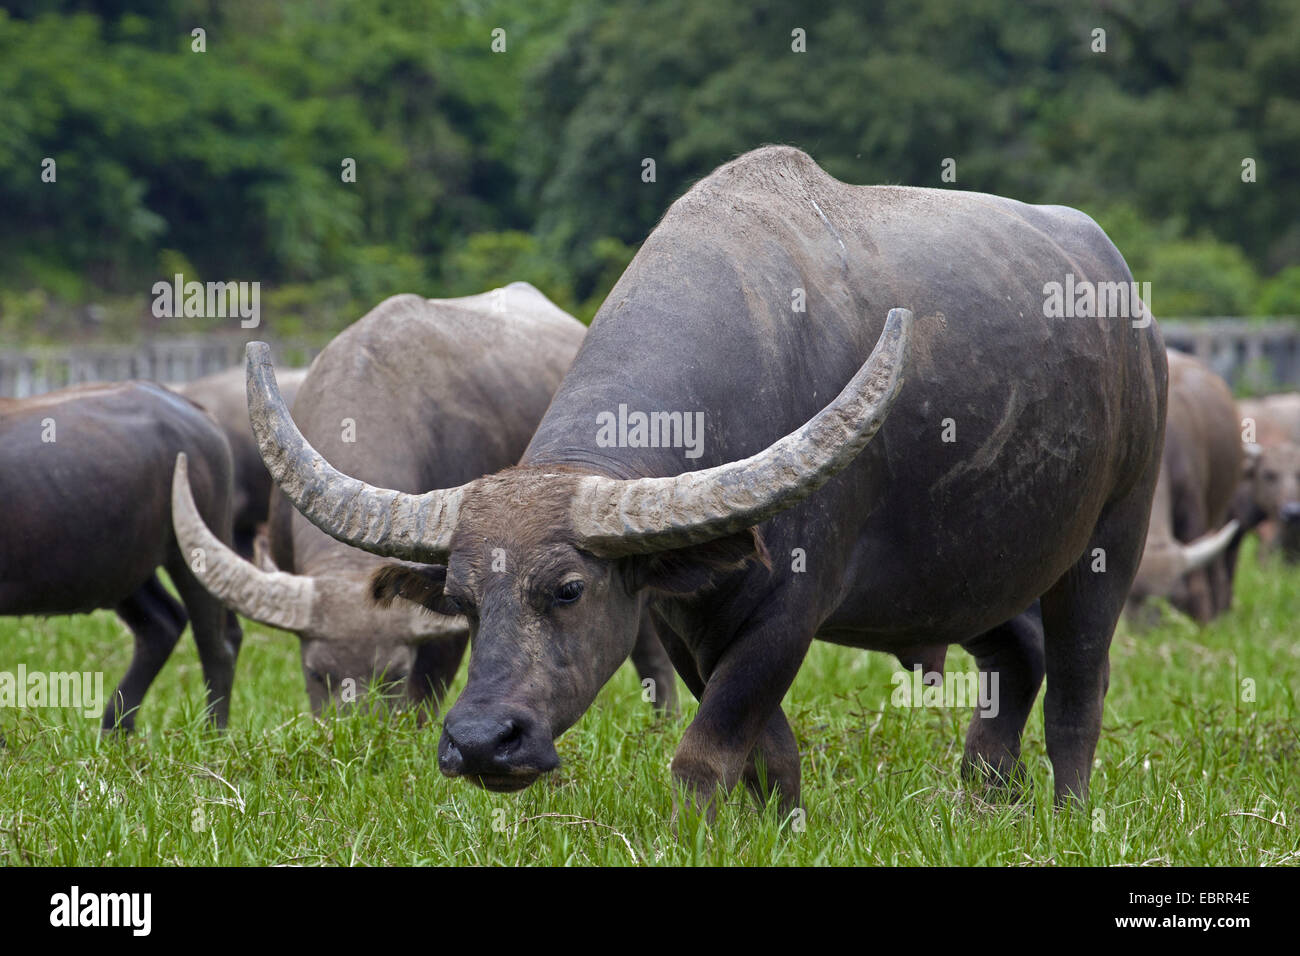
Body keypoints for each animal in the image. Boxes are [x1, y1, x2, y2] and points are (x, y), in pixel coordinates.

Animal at [0, 382, 242, 730]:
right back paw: (115, 728)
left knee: (217, 645)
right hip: (123, 568)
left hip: (197, 548)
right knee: (162, 624)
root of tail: (194, 410)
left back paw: (212, 733)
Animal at [246, 146, 1165, 813]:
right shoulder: (684, 616)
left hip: (1112, 537)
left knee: (1077, 687)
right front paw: (781, 826)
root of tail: (1128, 303)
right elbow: (767, 753)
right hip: (968, 573)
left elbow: (705, 751)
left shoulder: (790, 608)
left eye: (569, 589)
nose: (480, 742)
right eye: (463, 600)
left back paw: (1067, 812)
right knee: (1016, 657)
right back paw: (984, 801)